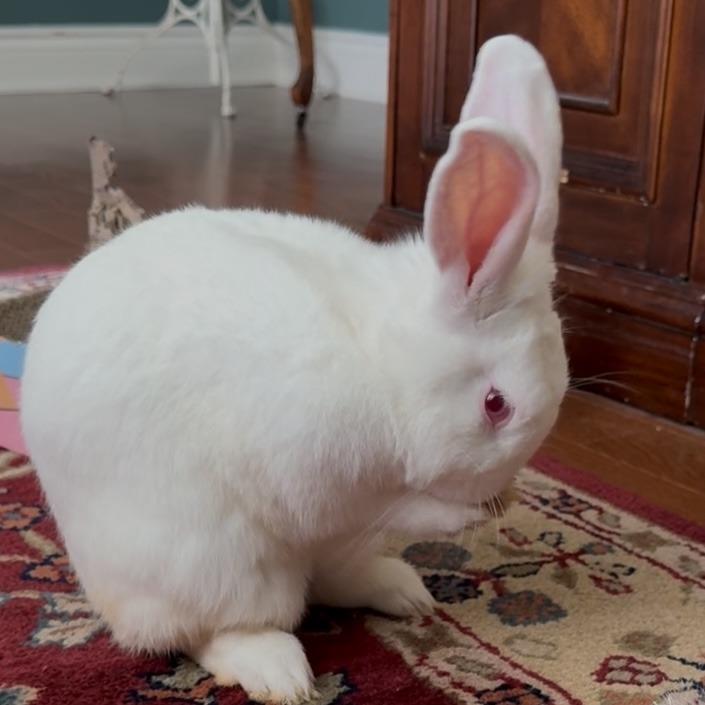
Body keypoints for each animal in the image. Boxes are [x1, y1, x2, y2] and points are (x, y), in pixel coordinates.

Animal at [21, 34, 567, 704]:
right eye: (496, 405)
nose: (502, 496)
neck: (385, 366)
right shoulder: (324, 481)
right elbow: (410, 505)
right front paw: (465, 512)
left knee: (330, 578)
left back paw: (405, 593)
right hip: (218, 563)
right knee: (208, 629)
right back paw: (280, 671)